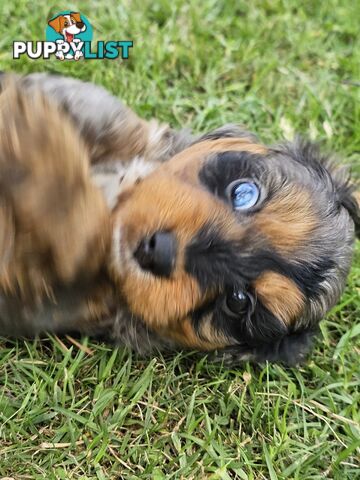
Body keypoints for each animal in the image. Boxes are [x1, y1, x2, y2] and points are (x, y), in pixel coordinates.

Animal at [0, 72, 358, 364]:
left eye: (238, 301)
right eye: (244, 194)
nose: (158, 251)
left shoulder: (52, 298)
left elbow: (72, 240)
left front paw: (42, 160)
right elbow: (99, 113)